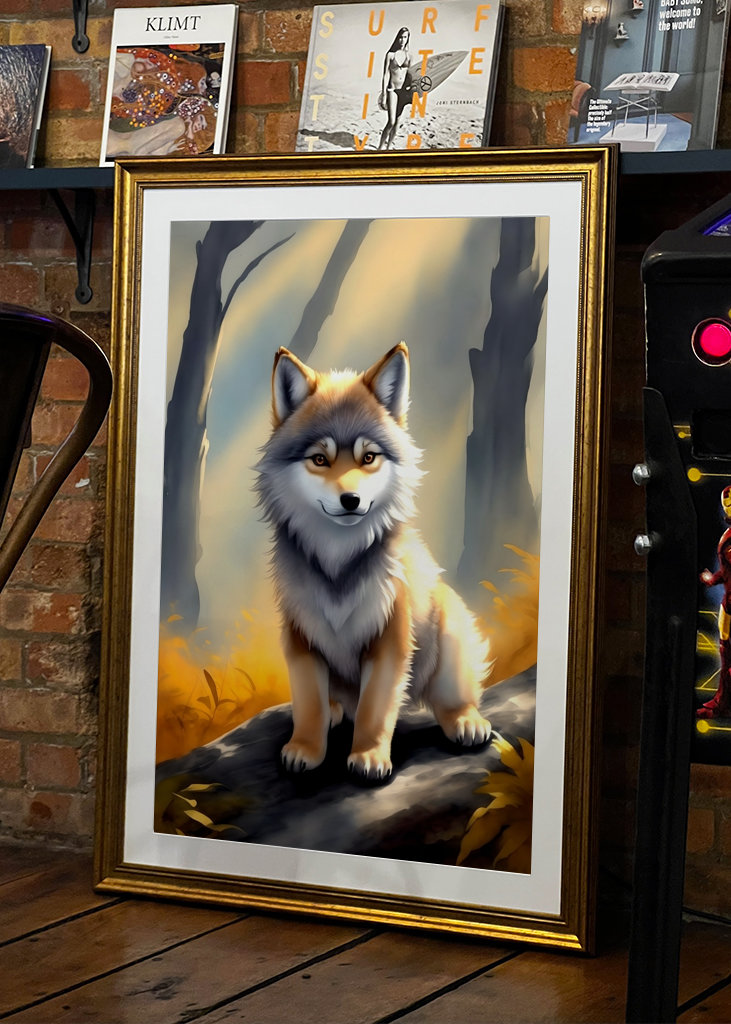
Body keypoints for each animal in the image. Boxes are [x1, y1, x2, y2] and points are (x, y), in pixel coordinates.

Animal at [255, 342, 491, 780]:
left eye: (368, 458)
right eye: (320, 459)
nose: (351, 500)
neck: (338, 563)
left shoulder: (389, 639)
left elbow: (374, 710)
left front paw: (368, 756)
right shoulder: (301, 636)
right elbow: (308, 704)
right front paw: (306, 748)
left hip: (447, 626)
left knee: (449, 699)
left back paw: (465, 720)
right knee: (334, 704)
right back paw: (334, 711)